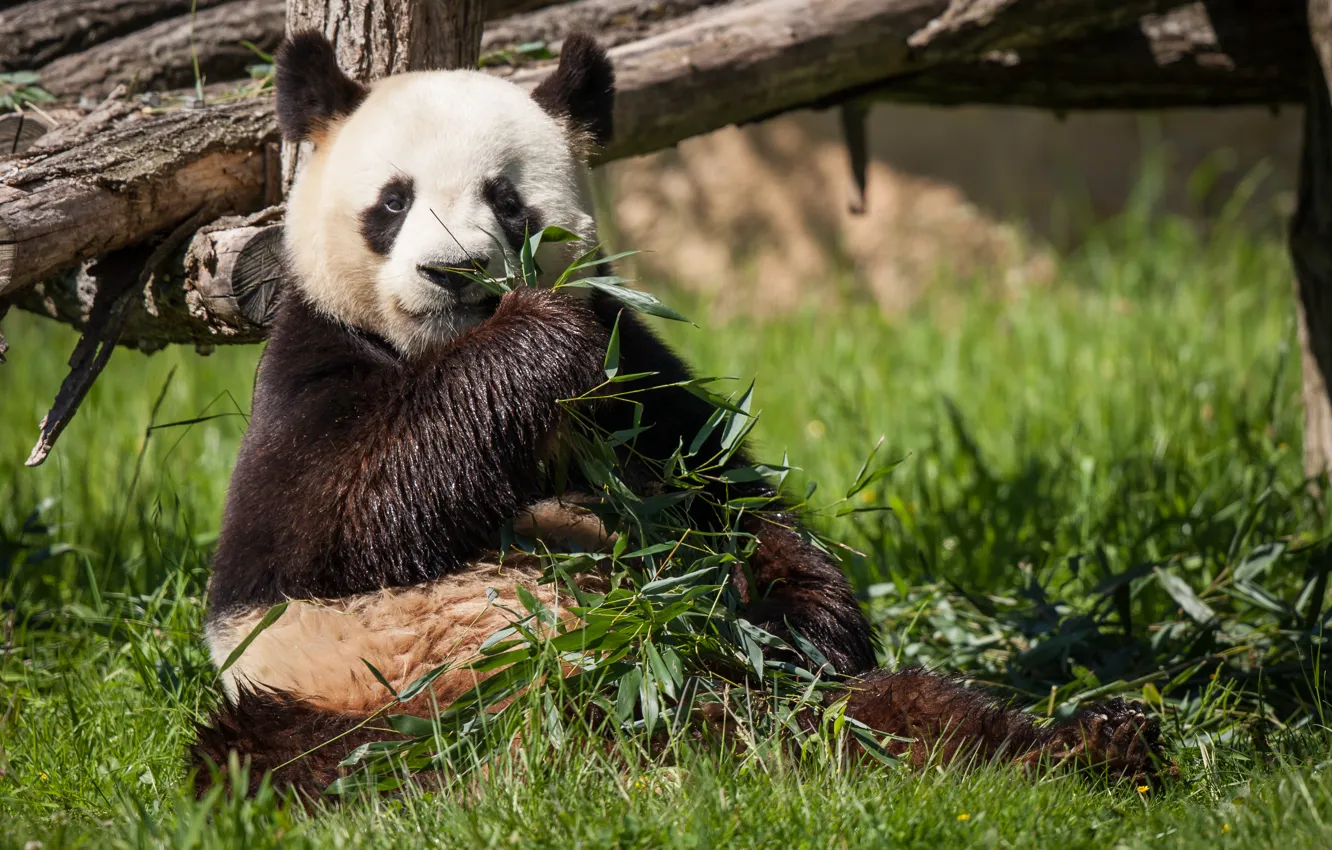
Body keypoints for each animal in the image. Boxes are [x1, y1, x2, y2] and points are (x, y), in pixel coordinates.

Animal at [190, 29, 1166, 794]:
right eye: (393, 200)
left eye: (507, 202)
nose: (456, 272)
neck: (436, 348)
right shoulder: (310, 373)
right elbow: (343, 515)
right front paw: (533, 338)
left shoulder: (637, 384)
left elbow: (731, 497)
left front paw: (807, 622)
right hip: (351, 697)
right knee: (293, 763)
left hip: (765, 703)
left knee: (897, 714)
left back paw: (1096, 746)